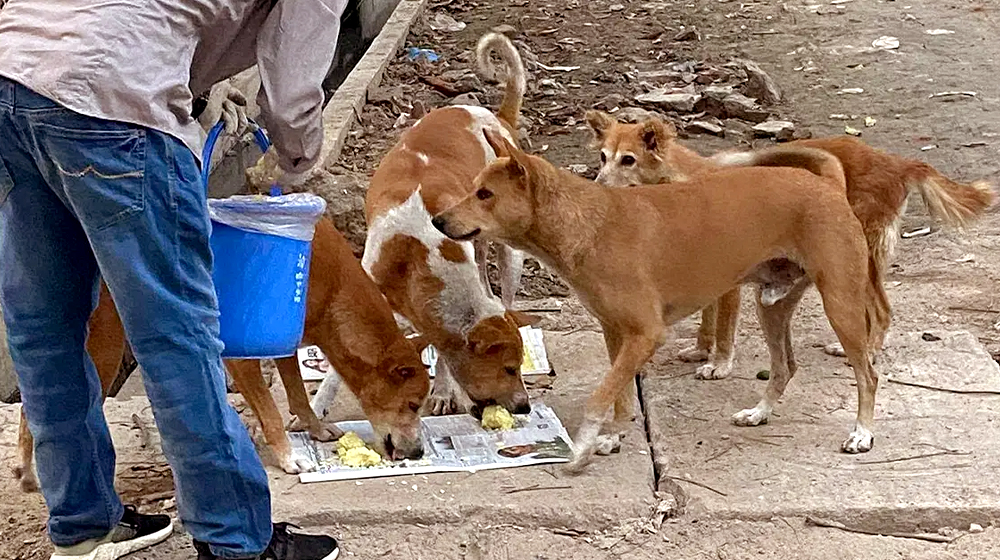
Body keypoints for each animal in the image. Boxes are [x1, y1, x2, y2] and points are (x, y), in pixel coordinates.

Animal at [14, 217, 430, 488]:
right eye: (412, 405)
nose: (418, 454)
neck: (333, 290)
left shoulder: (286, 344)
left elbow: (297, 394)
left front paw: (313, 427)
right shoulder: (238, 356)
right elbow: (271, 411)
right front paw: (288, 457)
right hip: (105, 351)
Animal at [364, 30, 540, 416]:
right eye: (509, 369)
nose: (524, 407)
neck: (414, 251)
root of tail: (496, 116)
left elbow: (443, 357)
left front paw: (444, 392)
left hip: (511, 258)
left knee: (506, 297)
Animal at [434, 131, 888, 472]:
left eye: (485, 194)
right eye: (474, 189)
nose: (438, 220)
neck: (588, 224)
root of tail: (828, 184)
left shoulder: (646, 335)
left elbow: (600, 397)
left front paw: (581, 447)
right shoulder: (616, 334)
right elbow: (618, 395)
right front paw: (613, 437)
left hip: (841, 305)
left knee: (867, 374)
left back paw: (862, 434)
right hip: (771, 305)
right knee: (785, 366)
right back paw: (759, 413)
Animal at [584, 111, 992, 378]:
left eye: (628, 160)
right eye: (603, 157)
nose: (596, 186)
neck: (679, 180)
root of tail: (896, 161)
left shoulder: (729, 280)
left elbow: (724, 326)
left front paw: (719, 363)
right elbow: (707, 319)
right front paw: (700, 350)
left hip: (858, 256)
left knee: (882, 310)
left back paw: (869, 351)